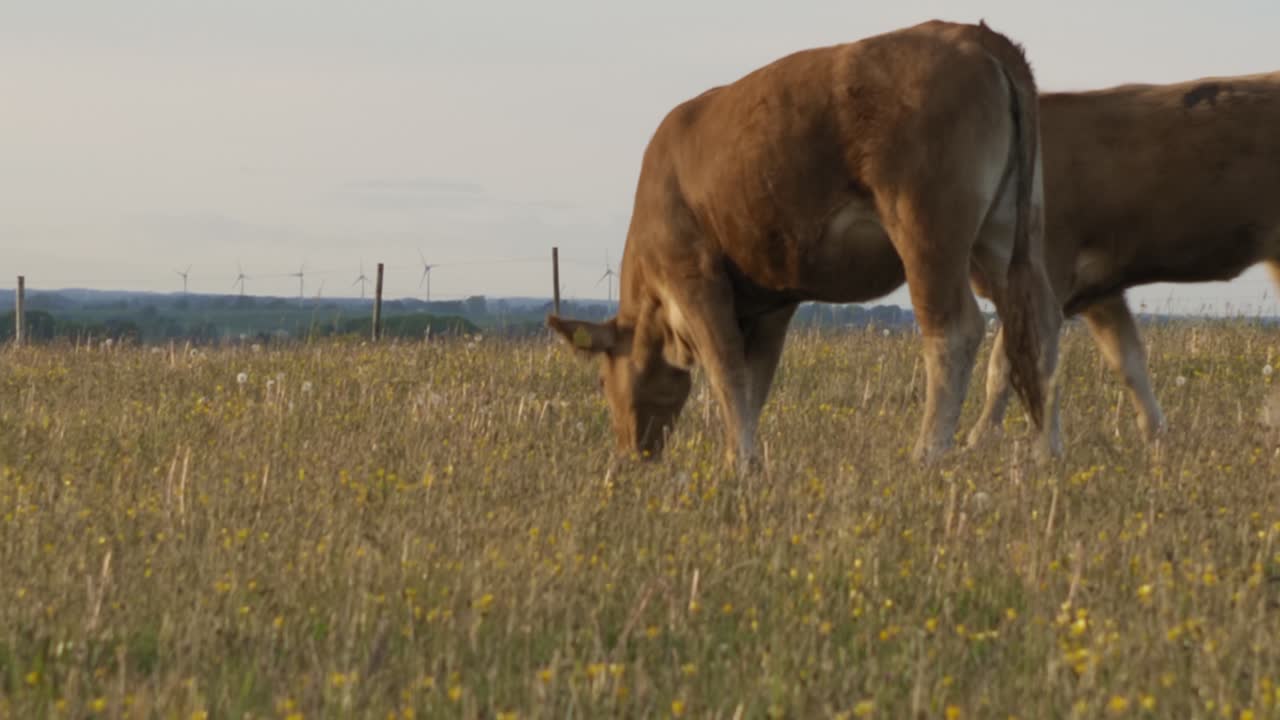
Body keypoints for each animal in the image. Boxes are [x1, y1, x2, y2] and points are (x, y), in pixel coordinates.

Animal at [547, 20, 1063, 469]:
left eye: (601, 379)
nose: (632, 454)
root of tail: (973, 34)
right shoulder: (773, 301)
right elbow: (755, 381)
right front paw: (746, 460)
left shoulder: (694, 275)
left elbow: (726, 369)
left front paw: (739, 466)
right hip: (1011, 230)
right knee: (1040, 321)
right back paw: (1047, 454)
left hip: (929, 231)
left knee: (954, 330)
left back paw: (927, 455)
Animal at [967, 72, 1280, 447]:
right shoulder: (1098, 292)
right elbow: (1128, 361)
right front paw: (1156, 438)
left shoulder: (1045, 275)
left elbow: (1003, 365)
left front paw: (978, 439)